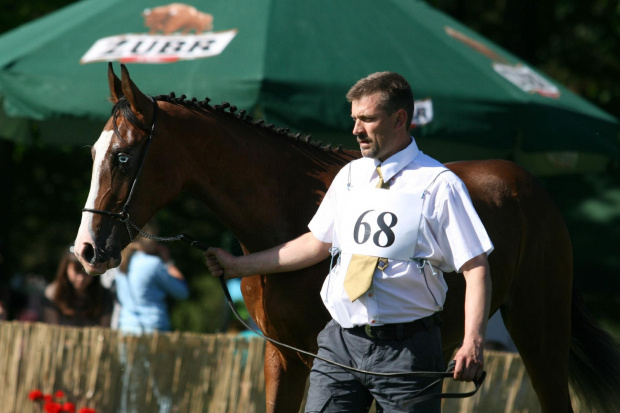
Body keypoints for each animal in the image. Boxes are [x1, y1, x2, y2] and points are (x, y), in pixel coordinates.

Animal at [74, 62, 620, 410]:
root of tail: (533, 189)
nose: (86, 250)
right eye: (95, 152)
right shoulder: (285, 357)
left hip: (540, 331)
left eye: (122, 156)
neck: (286, 213)